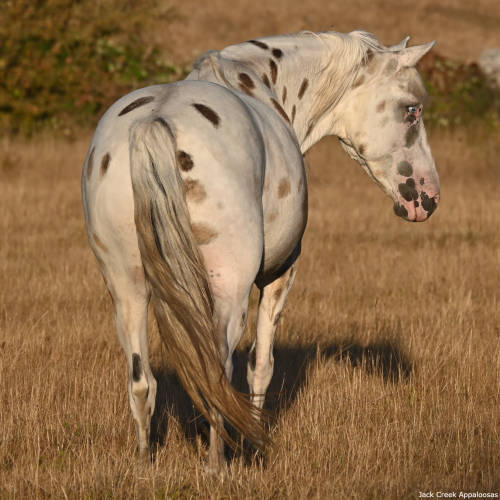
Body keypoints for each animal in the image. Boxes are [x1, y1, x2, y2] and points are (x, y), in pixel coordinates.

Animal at [81, 30, 438, 468]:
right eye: (412, 110)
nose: (427, 199)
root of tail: (154, 123)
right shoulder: (280, 274)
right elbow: (261, 366)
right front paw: (253, 445)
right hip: (228, 294)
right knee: (216, 375)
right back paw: (217, 467)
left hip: (127, 291)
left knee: (141, 382)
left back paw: (146, 463)